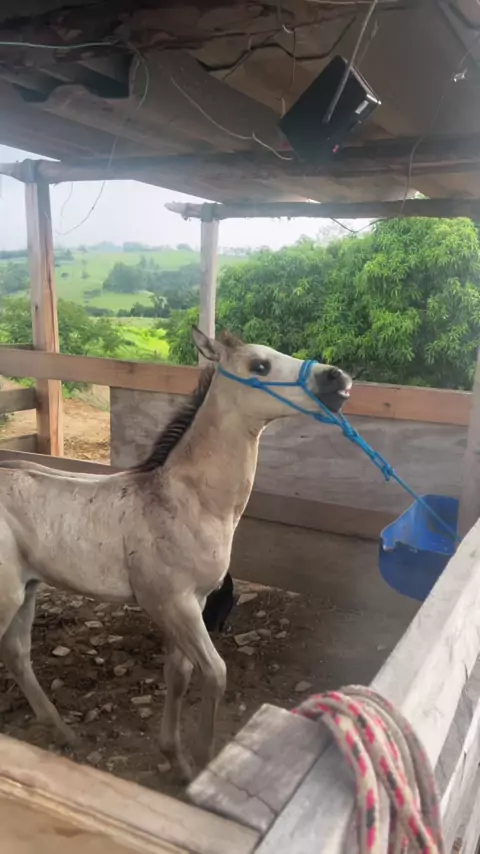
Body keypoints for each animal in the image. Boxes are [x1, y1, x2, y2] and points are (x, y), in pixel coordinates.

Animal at [0, 327, 351, 779]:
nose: (335, 378)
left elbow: (179, 674)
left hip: (27, 590)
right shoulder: (171, 603)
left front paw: (177, 759)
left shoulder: (193, 603)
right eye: (259, 366)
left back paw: (65, 733)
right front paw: (201, 760)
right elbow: (215, 672)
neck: (189, 501)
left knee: (17, 654)